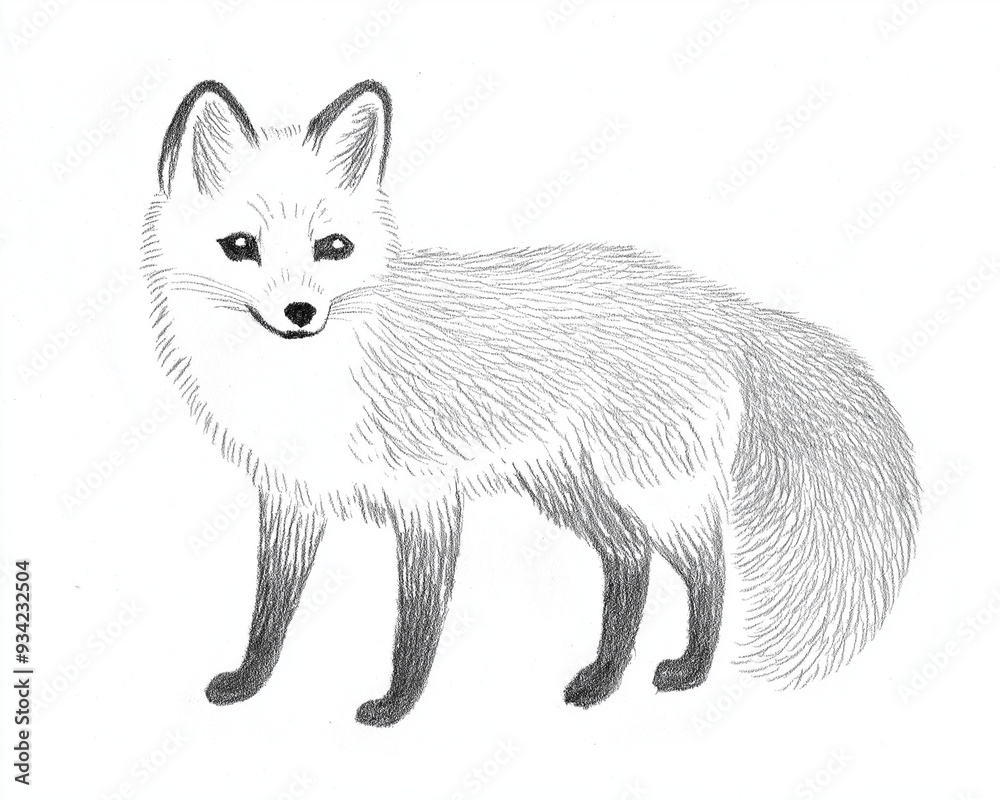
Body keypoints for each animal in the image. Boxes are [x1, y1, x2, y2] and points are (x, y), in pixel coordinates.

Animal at [140, 79, 919, 727]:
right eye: (241, 246)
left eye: (332, 246)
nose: (301, 312)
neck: (306, 382)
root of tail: (717, 301)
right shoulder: (291, 496)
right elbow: (269, 611)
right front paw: (249, 684)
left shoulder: (427, 497)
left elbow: (415, 624)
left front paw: (396, 707)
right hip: (568, 487)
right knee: (631, 559)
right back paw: (603, 680)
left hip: (651, 486)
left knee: (709, 566)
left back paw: (690, 670)